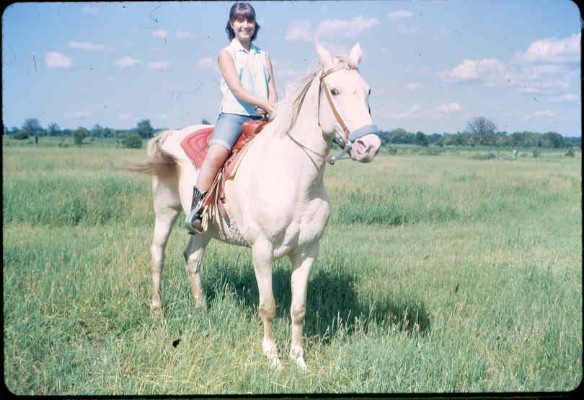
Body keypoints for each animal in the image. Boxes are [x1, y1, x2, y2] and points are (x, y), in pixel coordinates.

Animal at [137, 42, 384, 370]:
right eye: (335, 90)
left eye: (367, 91)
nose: (369, 146)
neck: (294, 176)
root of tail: (170, 135)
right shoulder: (263, 250)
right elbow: (268, 306)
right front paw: (273, 359)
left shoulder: (307, 252)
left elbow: (298, 308)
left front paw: (299, 360)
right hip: (165, 210)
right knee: (157, 255)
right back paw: (157, 310)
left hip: (204, 228)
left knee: (192, 258)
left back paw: (202, 309)